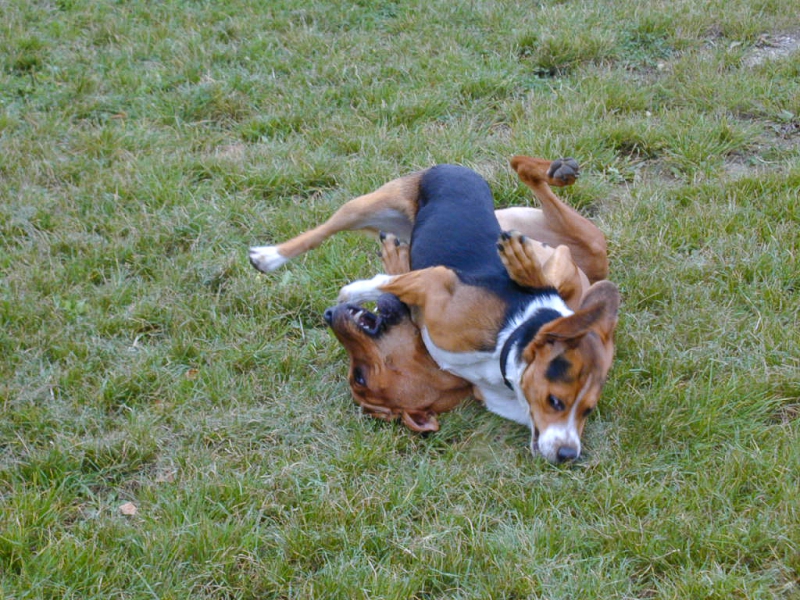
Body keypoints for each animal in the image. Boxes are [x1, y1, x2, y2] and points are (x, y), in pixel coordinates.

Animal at [250, 156, 618, 463]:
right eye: (555, 402)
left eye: (587, 411)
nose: (568, 455)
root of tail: (451, 167)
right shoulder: (437, 282)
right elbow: (383, 282)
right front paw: (355, 288)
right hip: (367, 206)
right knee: (322, 232)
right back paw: (269, 257)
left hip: (588, 249)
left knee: (526, 175)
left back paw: (555, 174)